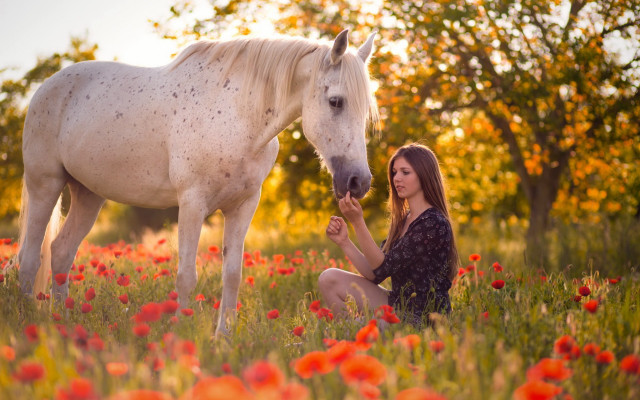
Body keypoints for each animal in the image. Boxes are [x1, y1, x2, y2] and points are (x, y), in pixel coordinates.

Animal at [17, 29, 378, 336]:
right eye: (336, 101)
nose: (358, 182)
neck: (237, 115)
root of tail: (46, 88)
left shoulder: (243, 206)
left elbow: (232, 275)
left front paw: (224, 338)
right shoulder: (192, 203)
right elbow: (186, 276)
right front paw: (181, 335)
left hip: (89, 195)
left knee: (61, 252)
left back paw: (63, 321)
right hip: (45, 185)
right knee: (30, 256)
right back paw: (27, 321)